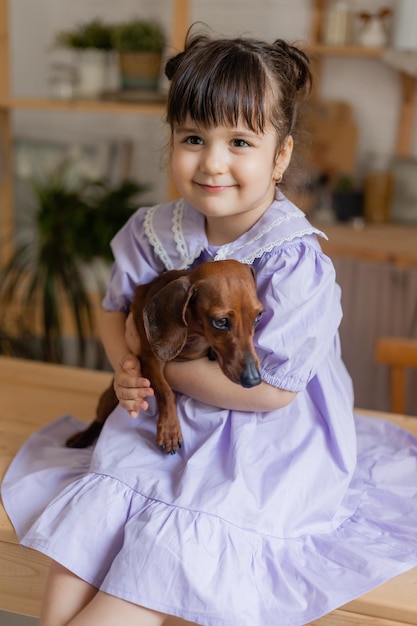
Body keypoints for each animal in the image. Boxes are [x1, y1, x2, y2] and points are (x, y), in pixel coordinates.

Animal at [67, 258, 264, 454]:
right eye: (221, 321)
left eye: (258, 317)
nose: (253, 379)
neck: (195, 334)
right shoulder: (150, 360)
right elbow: (166, 392)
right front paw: (170, 432)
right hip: (108, 398)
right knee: (98, 421)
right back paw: (81, 438)